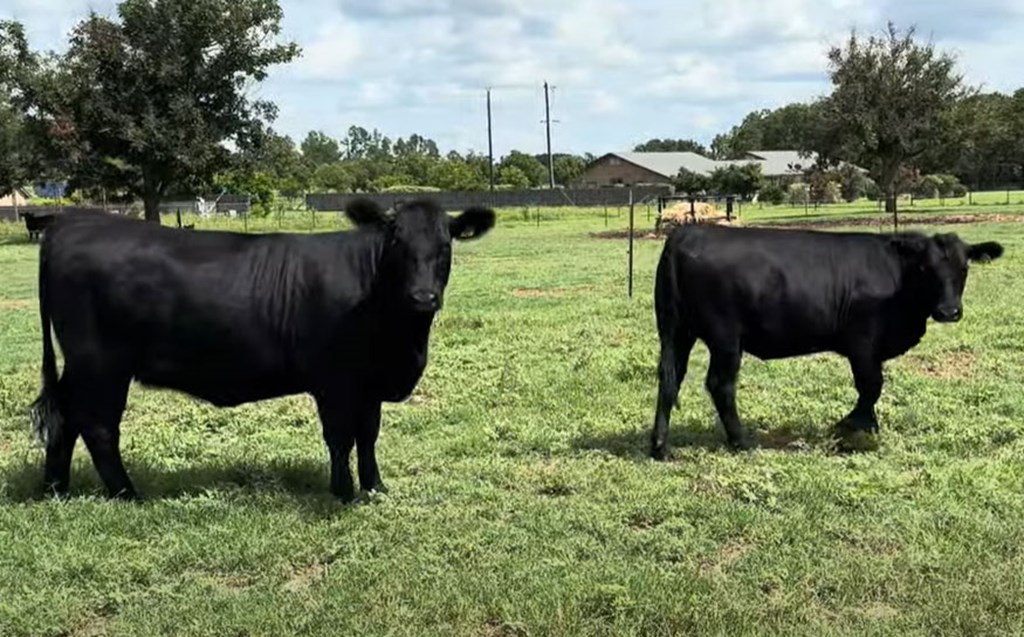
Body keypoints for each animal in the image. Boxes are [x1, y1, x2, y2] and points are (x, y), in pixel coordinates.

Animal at [29, 199, 493, 503]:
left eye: (446, 245)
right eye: (397, 243)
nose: (423, 297)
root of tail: (70, 223)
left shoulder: (368, 383)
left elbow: (368, 435)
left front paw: (375, 487)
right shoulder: (335, 380)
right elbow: (340, 437)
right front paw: (342, 493)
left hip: (83, 365)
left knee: (64, 416)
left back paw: (55, 489)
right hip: (101, 363)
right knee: (98, 426)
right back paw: (127, 494)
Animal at [651, 224, 1003, 458]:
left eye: (964, 267)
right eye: (925, 268)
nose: (948, 311)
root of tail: (688, 232)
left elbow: (871, 389)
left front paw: (866, 427)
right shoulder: (863, 342)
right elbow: (871, 386)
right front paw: (852, 428)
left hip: (678, 331)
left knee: (670, 379)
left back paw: (659, 446)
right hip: (725, 338)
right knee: (720, 385)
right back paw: (742, 441)